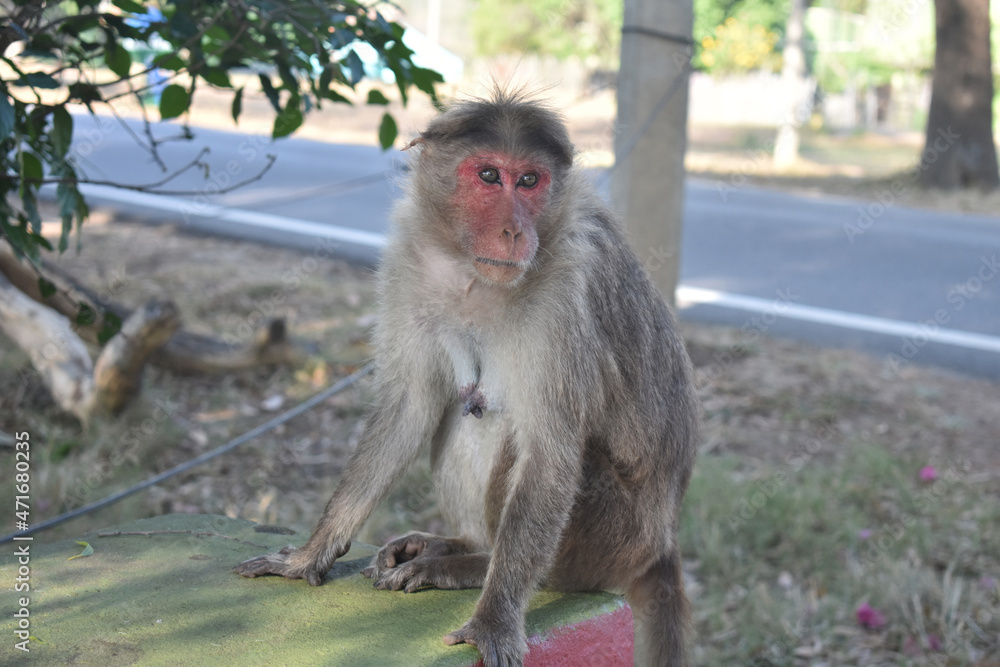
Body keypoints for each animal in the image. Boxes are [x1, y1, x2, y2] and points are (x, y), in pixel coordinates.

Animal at [235, 91, 699, 667]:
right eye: (488, 176)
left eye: (530, 181)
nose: (514, 231)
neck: (471, 273)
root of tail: (663, 541)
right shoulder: (407, 261)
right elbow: (410, 406)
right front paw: (309, 556)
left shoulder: (571, 289)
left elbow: (550, 454)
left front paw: (494, 618)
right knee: (460, 414)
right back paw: (458, 547)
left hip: (617, 539)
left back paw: (473, 568)